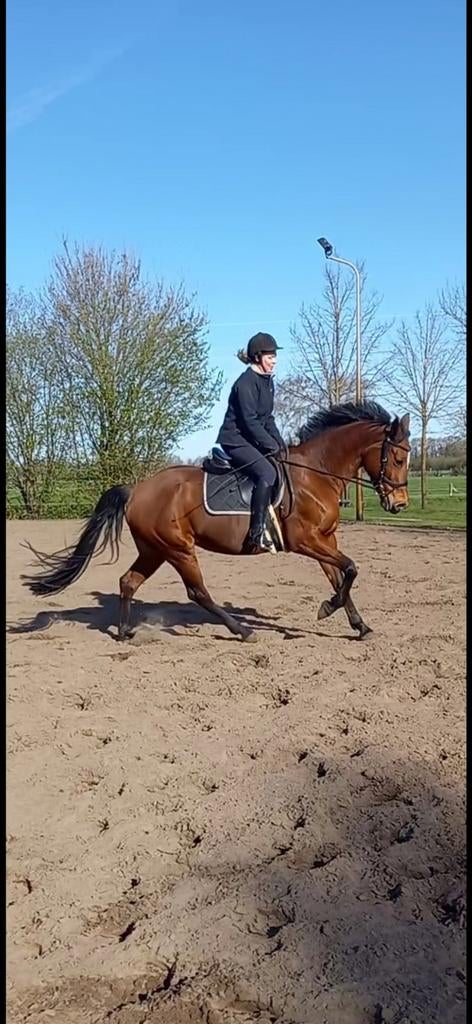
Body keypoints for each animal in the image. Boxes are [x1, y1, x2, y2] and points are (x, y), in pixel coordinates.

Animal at [22, 401, 411, 642]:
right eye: (397, 458)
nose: (400, 504)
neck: (316, 474)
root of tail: (138, 489)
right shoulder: (306, 542)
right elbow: (351, 569)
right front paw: (328, 609)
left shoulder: (325, 541)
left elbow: (342, 577)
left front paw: (357, 624)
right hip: (178, 549)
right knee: (197, 592)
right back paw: (242, 631)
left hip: (154, 550)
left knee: (128, 582)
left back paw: (124, 633)